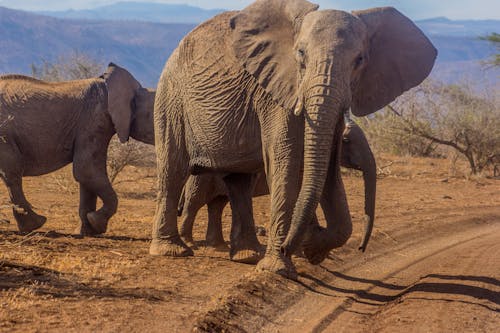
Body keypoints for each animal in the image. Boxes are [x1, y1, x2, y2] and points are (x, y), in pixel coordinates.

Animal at [0, 62, 154, 233]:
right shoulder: (94, 118)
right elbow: (86, 170)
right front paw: (97, 223)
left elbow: (87, 177)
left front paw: (87, 231)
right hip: (4, 133)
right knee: (13, 171)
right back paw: (35, 224)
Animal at [178, 119, 376, 262]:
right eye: (346, 141)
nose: (361, 249)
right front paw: (301, 252)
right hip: (202, 178)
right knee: (194, 203)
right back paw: (190, 243)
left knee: (217, 204)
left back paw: (218, 246)